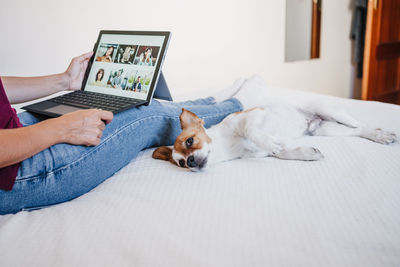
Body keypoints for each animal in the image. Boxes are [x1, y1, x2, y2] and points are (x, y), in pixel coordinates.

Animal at [152, 76, 396, 172]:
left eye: (190, 141)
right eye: (181, 164)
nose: (191, 162)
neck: (229, 147)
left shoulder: (254, 115)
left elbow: (252, 129)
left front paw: (269, 141)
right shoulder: (270, 153)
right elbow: (286, 152)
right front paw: (307, 153)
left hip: (331, 112)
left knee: (359, 124)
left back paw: (380, 133)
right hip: (328, 130)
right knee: (357, 131)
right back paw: (377, 135)